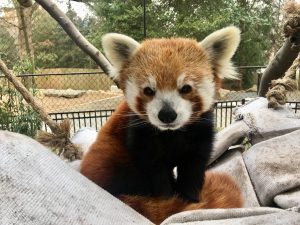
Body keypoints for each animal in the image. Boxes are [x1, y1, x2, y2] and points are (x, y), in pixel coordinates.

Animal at [80, 26, 244, 223]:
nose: (167, 115)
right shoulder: (140, 136)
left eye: (185, 88)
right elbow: (156, 173)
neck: (171, 133)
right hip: (111, 157)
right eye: (149, 90)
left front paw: (191, 200)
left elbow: (193, 167)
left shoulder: (200, 132)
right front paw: (170, 201)